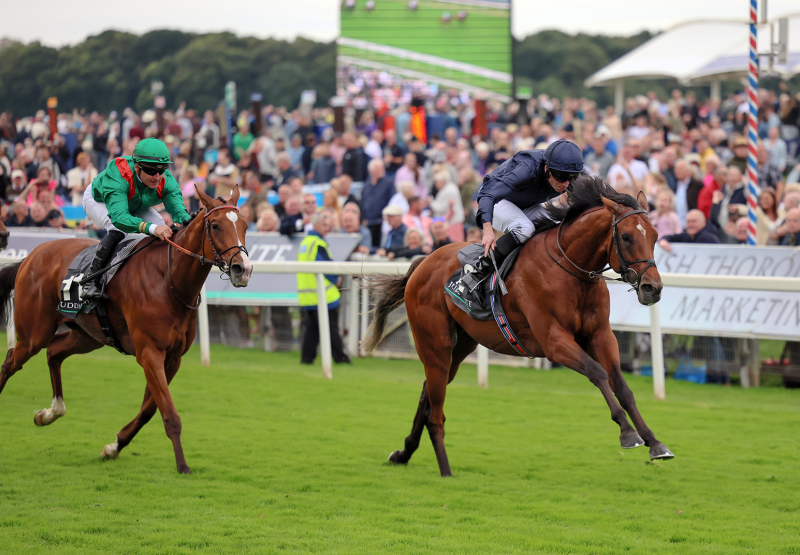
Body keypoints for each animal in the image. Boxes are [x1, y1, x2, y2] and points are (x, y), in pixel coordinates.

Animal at [0, 187, 252, 474]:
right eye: (215, 225)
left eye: (245, 225)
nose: (243, 269)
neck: (169, 281)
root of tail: (30, 257)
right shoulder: (150, 353)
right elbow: (169, 413)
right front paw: (183, 465)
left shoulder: (172, 358)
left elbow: (149, 410)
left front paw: (114, 447)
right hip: (34, 333)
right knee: (10, 361)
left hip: (88, 335)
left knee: (53, 352)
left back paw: (51, 412)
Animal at [364, 177, 676, 478]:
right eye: (626, 236)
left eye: (655, 236)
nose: (653, 288)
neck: (571, 270)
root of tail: (423, 263)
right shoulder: (554, 341)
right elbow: (597, 373)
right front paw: (628, 433)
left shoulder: (600, 335)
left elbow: (621, 386)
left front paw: (655, 443)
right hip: (434, 344)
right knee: (434, 404)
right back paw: (441, 467)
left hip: (460, 346)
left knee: (426, 395)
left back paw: (404, 453)